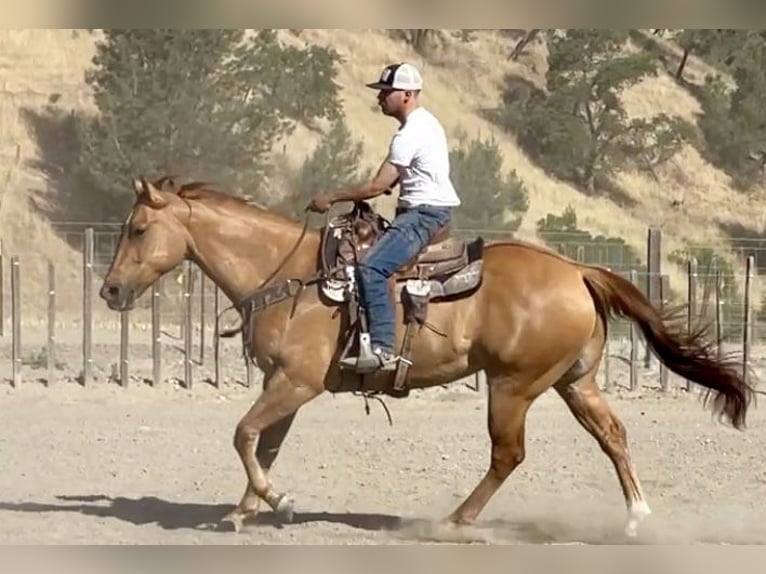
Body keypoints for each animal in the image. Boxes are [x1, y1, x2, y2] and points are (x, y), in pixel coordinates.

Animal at [99, 175, 754, 537]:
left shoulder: (295, 383)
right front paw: (246, 512)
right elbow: (263, 443)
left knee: (508, 455)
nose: (109, 290)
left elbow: (242, 435)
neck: (287, 274)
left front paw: (277, 500)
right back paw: (637, 516)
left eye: (137, 229)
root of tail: (577, 270)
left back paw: (454, 522)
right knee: (612, 435)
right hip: (574, 382)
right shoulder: (283, 385)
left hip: (512, 386)